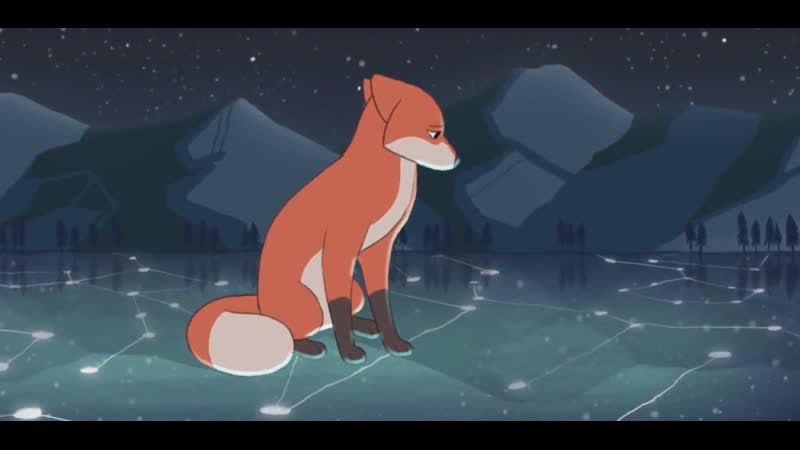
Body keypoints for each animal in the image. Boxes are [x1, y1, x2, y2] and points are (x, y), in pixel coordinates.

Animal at [185, 74, 460, 376]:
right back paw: (309, 345)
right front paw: (349, 353)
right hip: (310, 304)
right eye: (434, 133)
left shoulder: (378, 249)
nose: (458, 159)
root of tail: (260, 303)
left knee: (334, 316)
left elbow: (381, 304)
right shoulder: (342, 247)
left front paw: (393, 343)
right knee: (298, 329)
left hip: (354, 290)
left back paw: (364, 326)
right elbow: (340, 307)